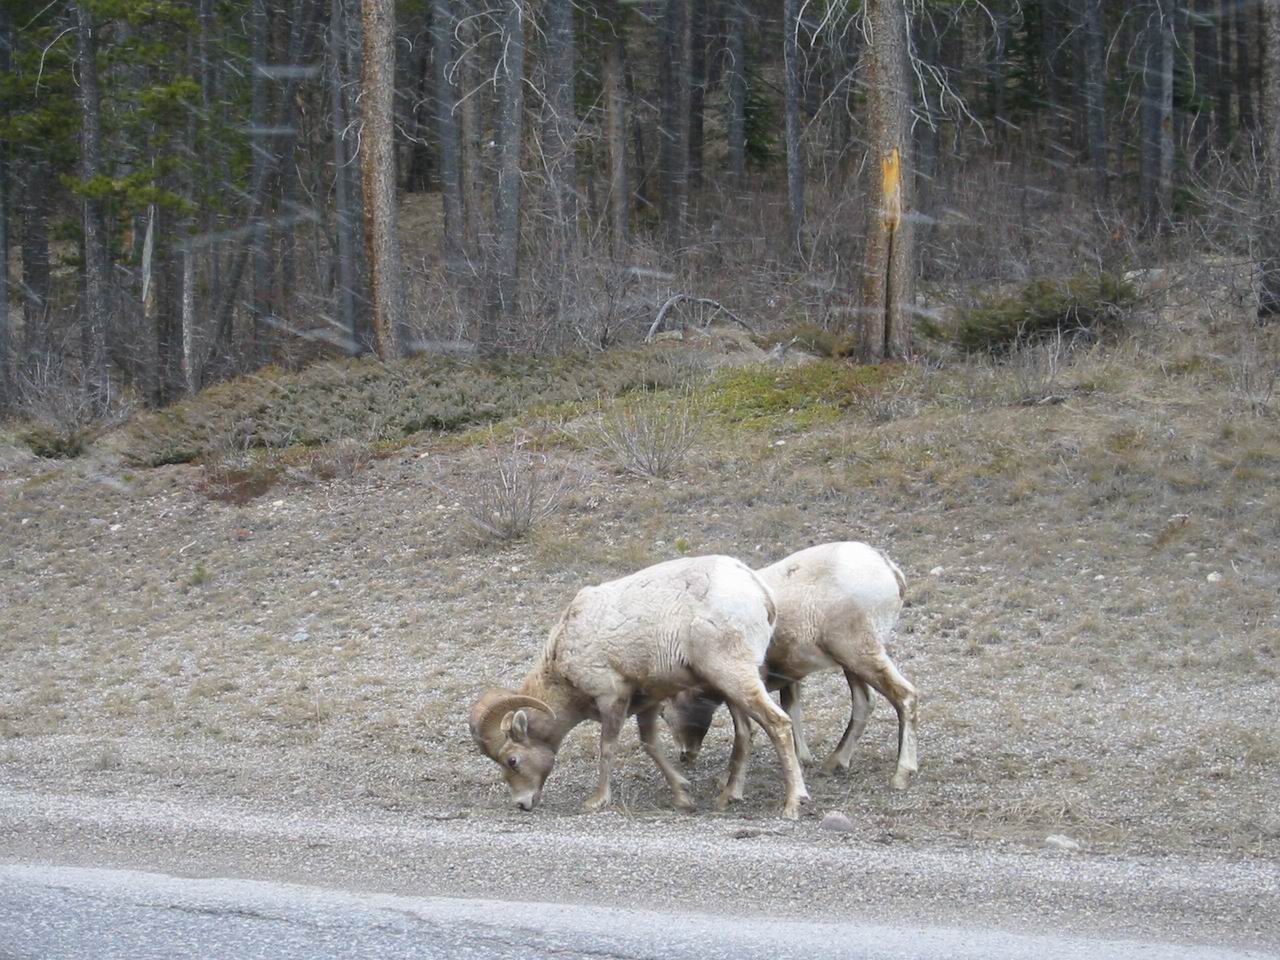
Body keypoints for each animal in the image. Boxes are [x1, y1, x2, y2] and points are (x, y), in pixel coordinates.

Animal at [471, 555, 808, 819]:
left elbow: (607, 748)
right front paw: (683, 796)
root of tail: (758, 590)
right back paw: (728, 797)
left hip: (735, 677)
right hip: (731, 685)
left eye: (512, 760)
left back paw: (793, 804)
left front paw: (597, 801)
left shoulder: (612, 699)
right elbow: (650, 745)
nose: (522, 804)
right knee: (745, 733)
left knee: (778, 724)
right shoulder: (649, 702)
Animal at [660, 545, 921, 793]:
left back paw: (901, 774)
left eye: (664, 713)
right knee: (864, 701)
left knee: (904, 695)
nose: (685, 755)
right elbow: (791, 709)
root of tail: (889, 569)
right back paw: (834, 762)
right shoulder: (788, 677)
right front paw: (802, 759)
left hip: (859, 652)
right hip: (851, 662)